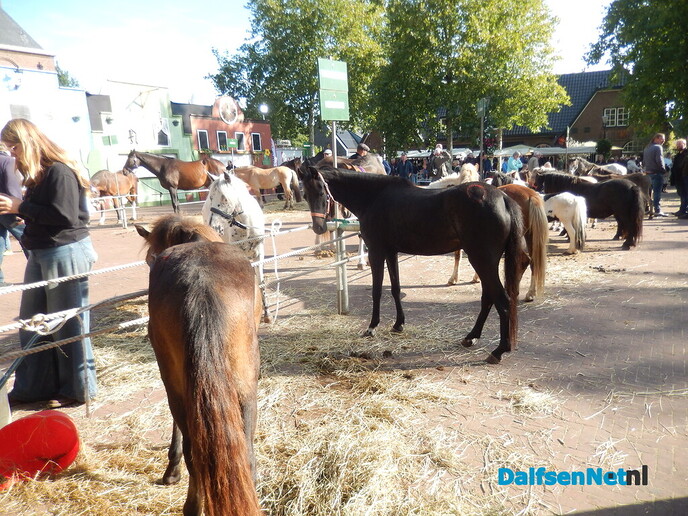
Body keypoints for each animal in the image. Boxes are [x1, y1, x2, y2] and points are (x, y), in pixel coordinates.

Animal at [202, 171, 271, 323]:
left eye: (225, 198)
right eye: (211, 197)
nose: (214, 227)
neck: (246, 227)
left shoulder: (259, 254)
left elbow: (261, 282)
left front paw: (267, 313)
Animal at [298, 164, 530, 364]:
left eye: (321, 192)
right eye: (305, 194)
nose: (319, 228)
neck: (373, 197)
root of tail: (503, 198)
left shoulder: (376, 252)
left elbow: (376, 291)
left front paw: (372, 327)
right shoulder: (391, 252)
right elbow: (395, 288)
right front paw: (398, 324)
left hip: (482, 259)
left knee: (502, 300)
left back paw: (498, 351)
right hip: (484, 261)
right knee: (488, 298)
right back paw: (471, 337)